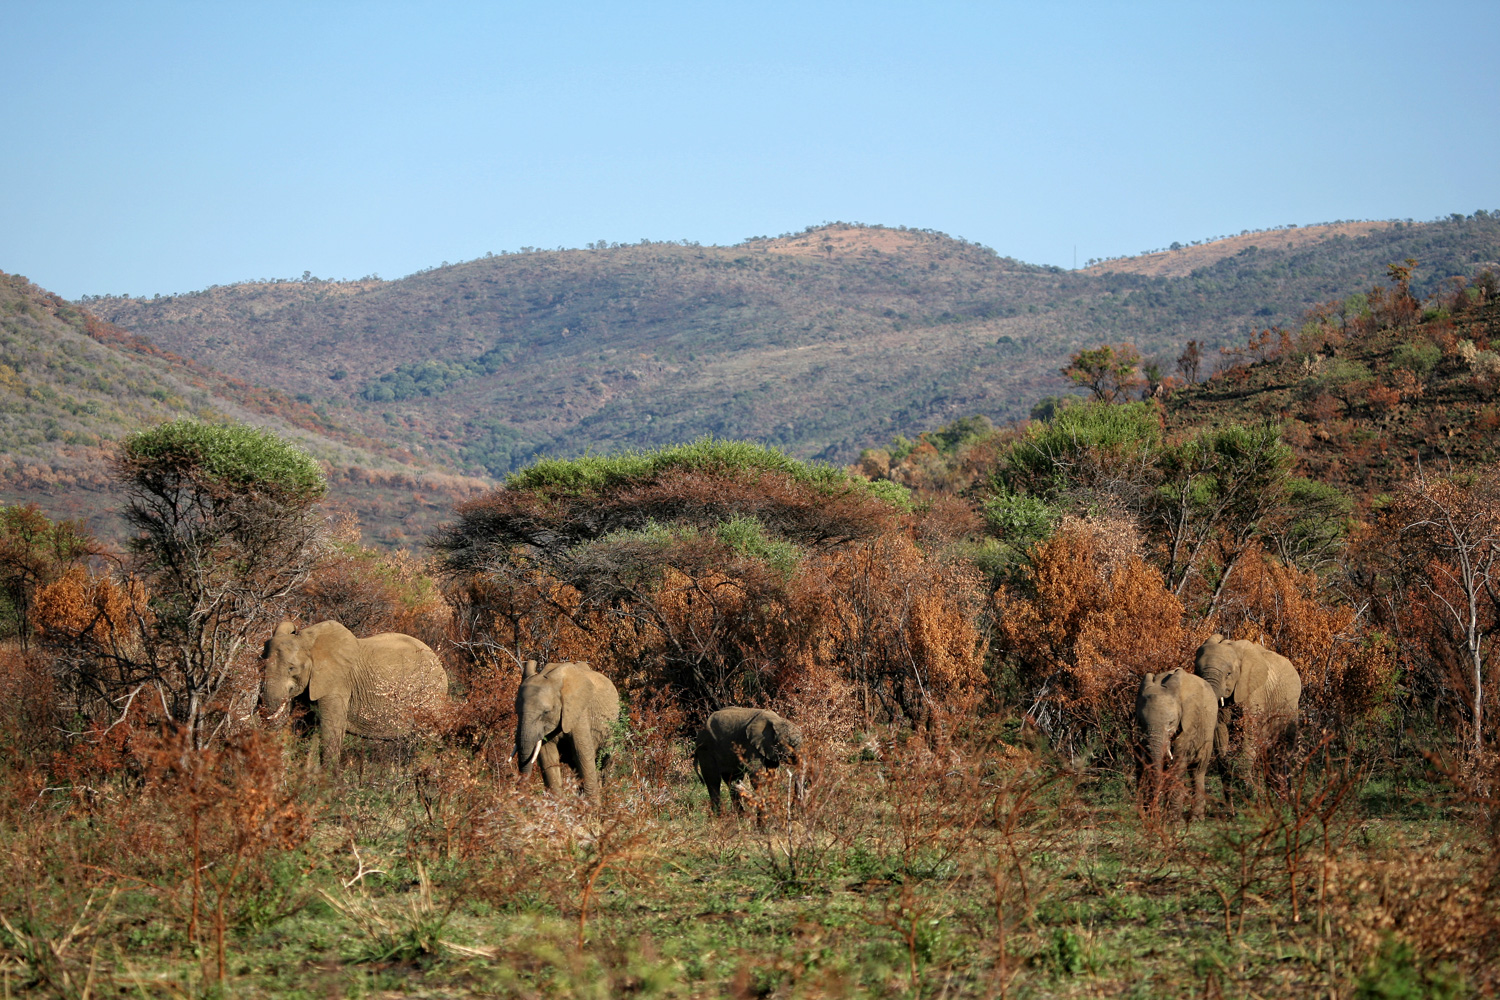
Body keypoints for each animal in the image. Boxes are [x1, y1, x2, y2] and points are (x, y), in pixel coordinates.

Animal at [258, 617, 447, 773]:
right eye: (260, 666)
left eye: (292, 668)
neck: (309, 641)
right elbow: (306, 727)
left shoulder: (338, 681)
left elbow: (331, 728)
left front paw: (328, 784)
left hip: (430, 696)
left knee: (430, 741)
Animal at [510, 659, 615, 803]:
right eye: (517, 712)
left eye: (546, 712)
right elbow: (547, 755)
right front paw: (558, 804)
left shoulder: (579, 713)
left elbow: (582, 752)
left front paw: (593, 807)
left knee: (606, 761)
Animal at [1134, 671, 1218, 821]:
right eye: (1142, 722)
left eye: (1171, 722)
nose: (1153, 814)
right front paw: (1150, 817)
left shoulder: (1188, 724)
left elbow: (1178, 762)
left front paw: (1171, 819)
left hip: (1209, 729)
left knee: (1198, 769)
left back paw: (1196, 818)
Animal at [1194, 629, 1302, 779]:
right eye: (1197, 671)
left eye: (1228, 674)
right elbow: (1220, 731)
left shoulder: (1253, 693)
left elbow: (1248, 732)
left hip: (1290, 706)